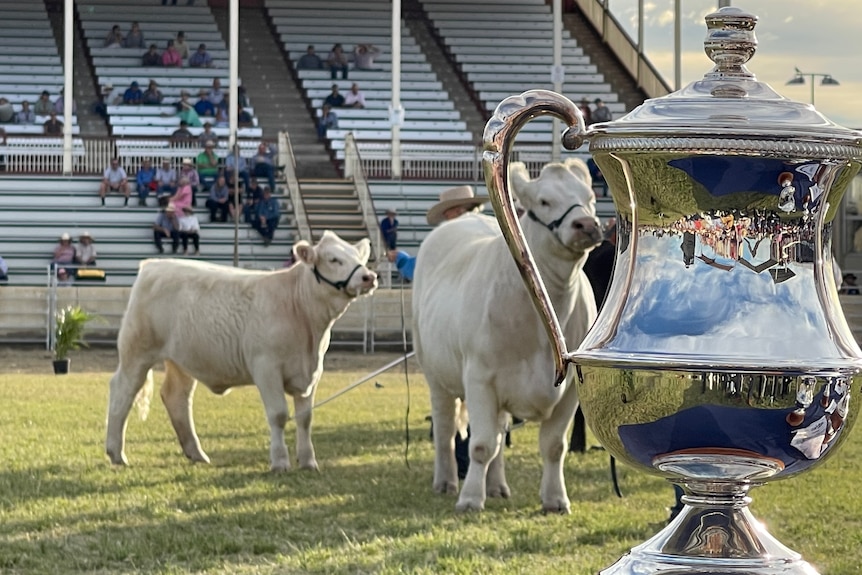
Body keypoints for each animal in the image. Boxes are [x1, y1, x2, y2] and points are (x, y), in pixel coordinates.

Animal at [105, 231, 378, 472]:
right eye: (333, 259)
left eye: (360, 258)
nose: (369, 277)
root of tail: (153, 264)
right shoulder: (266, 367)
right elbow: (279, 415)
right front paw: (280, 462)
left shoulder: (311, 372)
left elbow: (305, 418)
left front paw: (309, 461)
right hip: (136, 351)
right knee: (123, 390)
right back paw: (116, 453)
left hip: (182, 360)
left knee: (176, 397)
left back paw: (196, 453)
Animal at [416, 159, 604, 512]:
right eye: (543, 201)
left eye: (590, 197)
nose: (587, 225)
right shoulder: (480, 379)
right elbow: (480, 446)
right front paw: (470, 499)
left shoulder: (569, 391)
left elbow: (553, 446)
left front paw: (555, 499)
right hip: (435, 375)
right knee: (446, 431)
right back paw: (445, 481)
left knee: (500, 438)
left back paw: (498, 486)